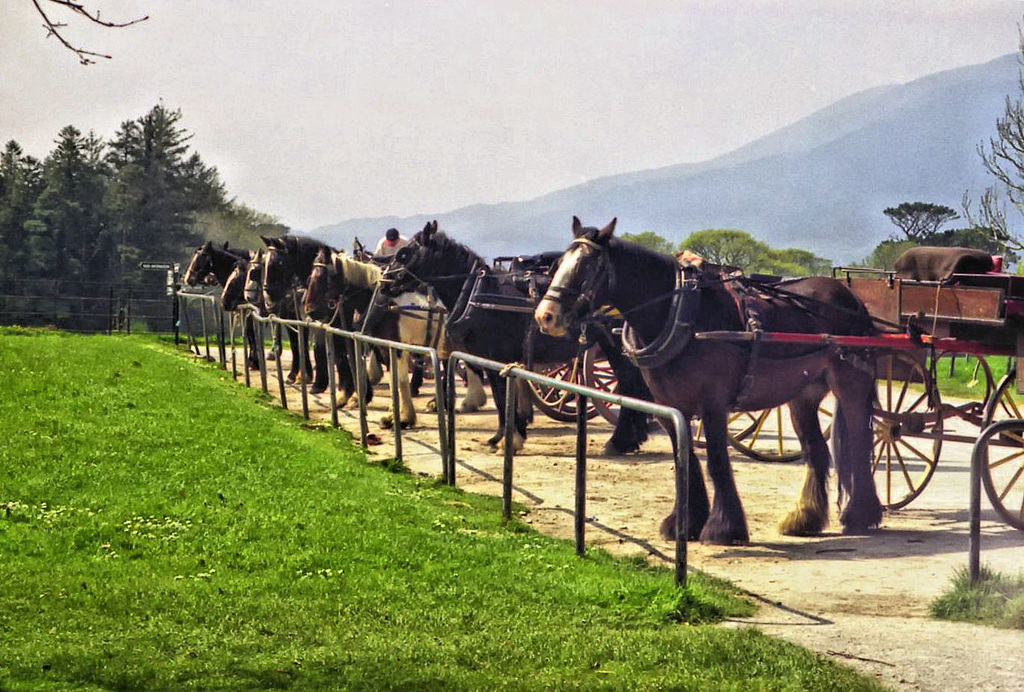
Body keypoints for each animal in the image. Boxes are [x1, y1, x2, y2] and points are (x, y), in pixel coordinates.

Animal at [387, 218, 651, 454]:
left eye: (404, 254)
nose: (386, 281)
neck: (479, 294)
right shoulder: (491, 361)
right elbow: (501, 398)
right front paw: (504, 436)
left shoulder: (496, 360)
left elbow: (503, 398)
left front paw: (511, 438)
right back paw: (631, 437)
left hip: (614, 347)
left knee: (630, 383)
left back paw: (621, 439)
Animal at [536, 219, 880, 544]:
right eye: (558, 264)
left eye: (586, 267)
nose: (545, 316)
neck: (680, 315)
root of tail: (851, 299)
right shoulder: (671, 407)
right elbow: (685, 459)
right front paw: (685, 523)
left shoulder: (713, 405)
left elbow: (715, 460)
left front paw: (724, 528)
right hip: (802, 395)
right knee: (816, 451)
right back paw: (804, 519)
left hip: (851, 382)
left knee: (860, 441)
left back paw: (859, 515)